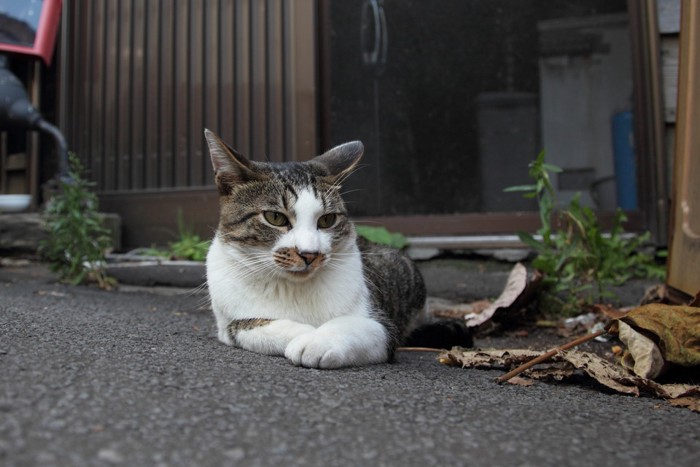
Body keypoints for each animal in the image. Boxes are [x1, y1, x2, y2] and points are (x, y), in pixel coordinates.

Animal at [204, 129, 426, 370]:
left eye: (327, 220)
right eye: (275, 217)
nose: (309, 254)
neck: (292, 289)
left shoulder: (382, 325)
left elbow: (356, 325)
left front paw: (317, 340)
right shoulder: (227, 321)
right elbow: (245, 326)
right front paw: (306, 332)